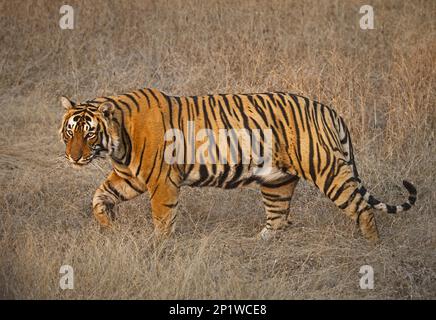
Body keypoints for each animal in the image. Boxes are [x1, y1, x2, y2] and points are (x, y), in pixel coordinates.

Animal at [59, 88, 418, 242]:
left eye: (89, 134)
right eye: (70, 131)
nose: (74, 157)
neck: (116, 142)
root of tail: (329, 110)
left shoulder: (161, 182)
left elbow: (162, 219)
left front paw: (159, 247)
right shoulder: (129, 177)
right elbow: (98, 198)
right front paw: (109, 225)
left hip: (327, 171)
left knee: (362, 208)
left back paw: (371, 249)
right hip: (277, 180)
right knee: (277, 219)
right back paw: (259, 244)